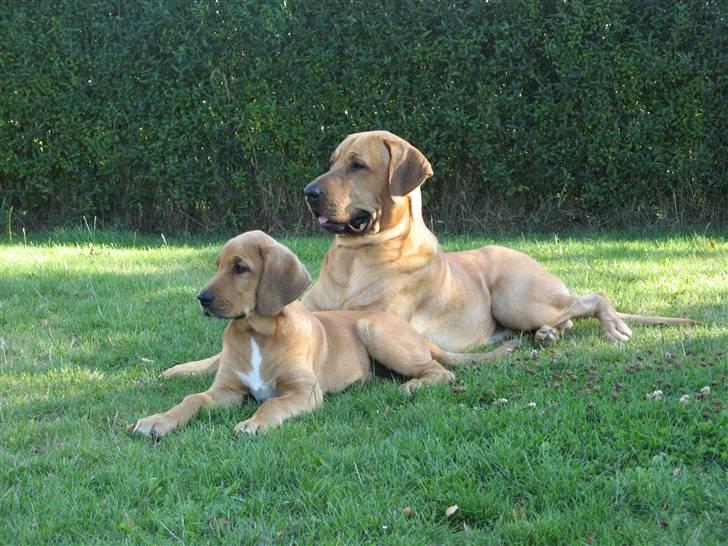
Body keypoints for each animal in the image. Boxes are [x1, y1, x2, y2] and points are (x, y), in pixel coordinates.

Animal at [134, 232, 516, 436]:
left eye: (240, 268)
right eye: (217, 266)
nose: (202, 298)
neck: (258, 333)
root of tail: (417, 335)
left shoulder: (305, 392)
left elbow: (273, 404)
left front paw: (253, 423)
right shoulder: (226, 390)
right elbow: (193, 399)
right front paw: (158, 420)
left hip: (372, 327)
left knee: (441, 371)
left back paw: (412, 386)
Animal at [298, 131, 696, 348]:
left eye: (358, 165)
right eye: (333, 162)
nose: (309, 192)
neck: (355, 257)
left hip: (516, 299)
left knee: (594, 297)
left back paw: (611, 326)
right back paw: (548, 334)